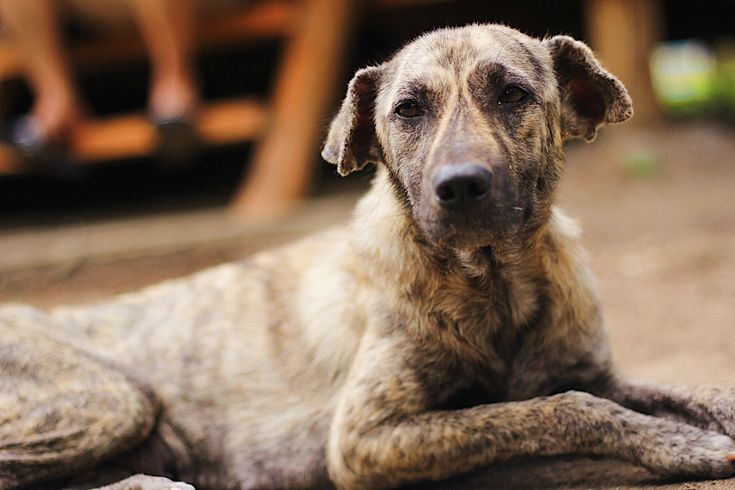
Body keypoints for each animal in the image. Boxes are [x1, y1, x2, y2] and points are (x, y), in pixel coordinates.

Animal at [1, 23, 735, 490]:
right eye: (407, 109)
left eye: (513, 94)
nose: (460, 186)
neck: (490, 283)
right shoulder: (363, 439)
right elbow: (565, 410)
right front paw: (680, 444)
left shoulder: (592, 369)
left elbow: (687, 388)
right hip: (112, 397)